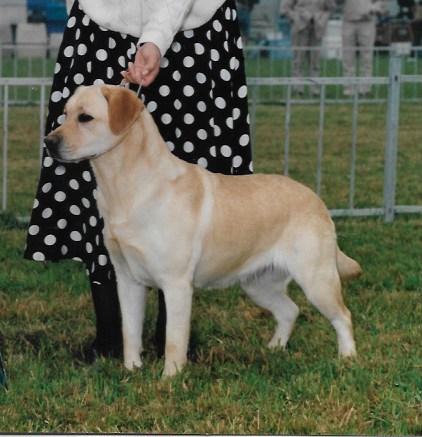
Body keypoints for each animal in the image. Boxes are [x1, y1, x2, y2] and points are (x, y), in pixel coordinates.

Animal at [44, 84, 362, 374]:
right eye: (65, 114)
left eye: (85, 117)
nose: (48, 142)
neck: (126, 187)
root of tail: (316, 200)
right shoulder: (128, 280)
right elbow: (130, 334)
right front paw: (131, 371)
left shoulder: (176, 284)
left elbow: (174, 340)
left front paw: (169, 379)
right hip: (258, 283)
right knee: (290, 310)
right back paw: (274, 348)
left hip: (316, 279)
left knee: (343, 316)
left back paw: (347, 357)